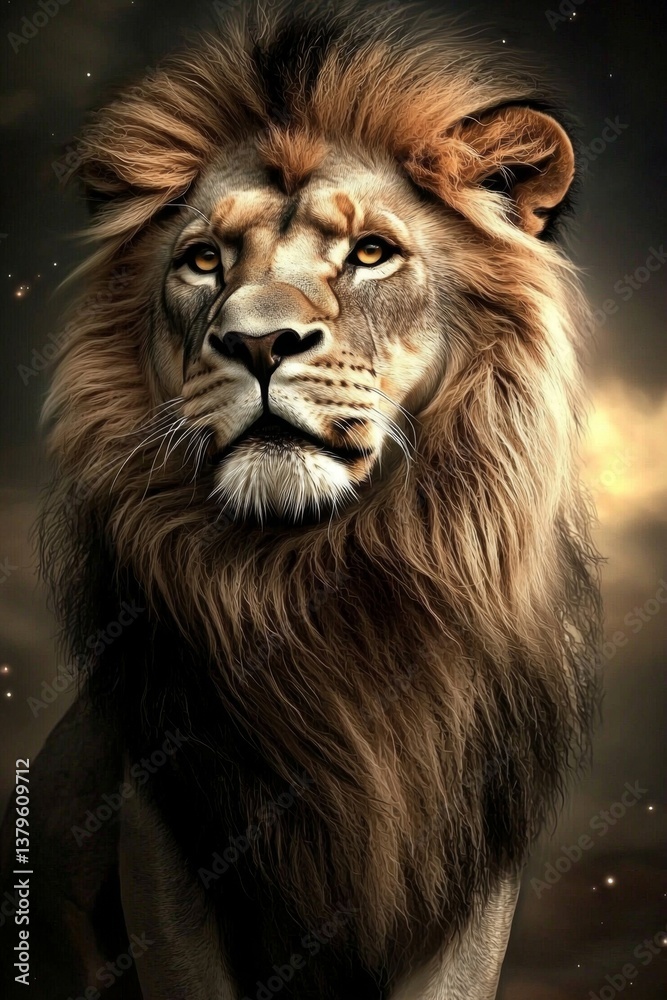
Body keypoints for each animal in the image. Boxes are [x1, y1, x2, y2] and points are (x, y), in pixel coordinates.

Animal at [0, 4, 602, 998]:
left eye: (370, 254)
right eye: (204, 261)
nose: (256, 342)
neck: (317, 578)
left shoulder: (469, 871)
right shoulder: (170, 850)